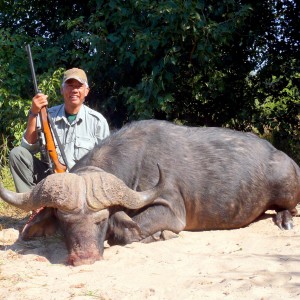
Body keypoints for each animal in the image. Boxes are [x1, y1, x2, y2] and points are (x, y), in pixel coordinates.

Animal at [0, 119, 300, 264]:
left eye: (101, 221)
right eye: (64, 222)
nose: (84, 258)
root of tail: (282, 156)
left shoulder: (171, 212)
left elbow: (128, 232)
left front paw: (160, 235)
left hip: (285, 185)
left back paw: (284, 219)